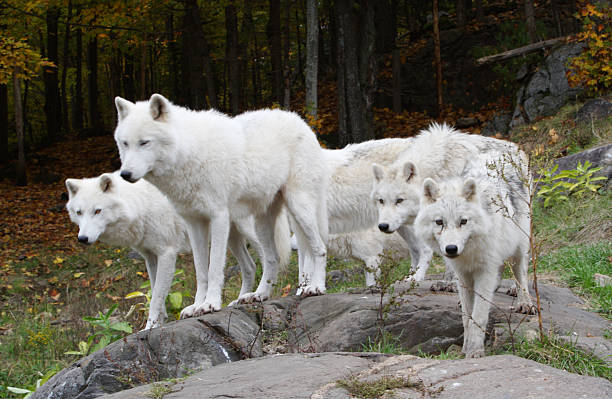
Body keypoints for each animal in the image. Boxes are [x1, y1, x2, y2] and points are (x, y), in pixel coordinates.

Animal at [65, 172, 260, 332]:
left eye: (97, 211)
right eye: (79, 212)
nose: (82, 238)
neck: (139, 204)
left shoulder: (167, 254)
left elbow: (156, 296)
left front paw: (149, 327)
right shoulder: (150, 257)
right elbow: (156, 293)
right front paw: (158, 324)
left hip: (248, 231)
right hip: (231, 238)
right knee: (250, 267)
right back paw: (240, 300)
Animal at [112, 94, 328, 318]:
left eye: (144, 142)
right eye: (125, 143)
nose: (125, 174)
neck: (189, 152)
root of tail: (300, 121)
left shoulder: (219, 217)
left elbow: (214, 268)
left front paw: (211, 304)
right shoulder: (194, 223)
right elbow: (201, 272)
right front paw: (196, 306)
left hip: (299, 208)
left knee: (319, 248)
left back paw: (315, 287)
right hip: (261, 224)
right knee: (273, 259)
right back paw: (259, 295)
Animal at [416, 170, 532, 358]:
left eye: (463, 221)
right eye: (439, 222)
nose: (451, 248)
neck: (469, 252)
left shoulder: (485, 271)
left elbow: (479, 316)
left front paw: (475, 351)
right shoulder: (462, 275)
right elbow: (467, 317)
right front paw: (465, 347)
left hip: (519, 248)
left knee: (520, 274)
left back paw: (525, 303)